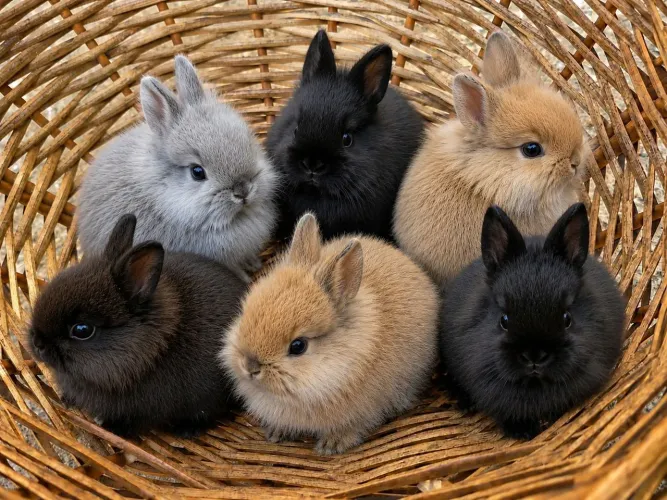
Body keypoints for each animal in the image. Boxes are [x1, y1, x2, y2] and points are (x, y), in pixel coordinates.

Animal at [220, 212, 439, 454]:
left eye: (298, 346)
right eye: (245, 312)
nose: (250, 367)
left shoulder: (364, 411)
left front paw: (330, 447)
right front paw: (276, 434)